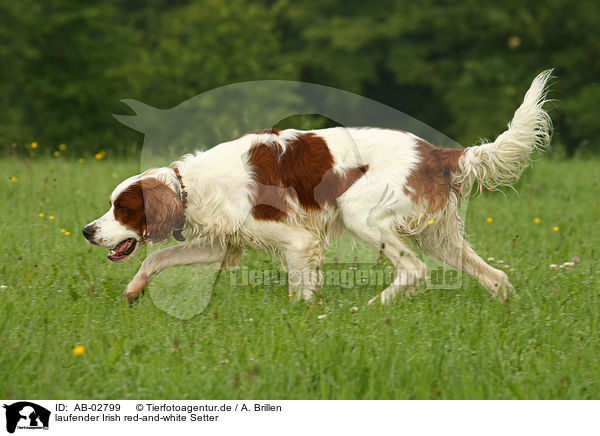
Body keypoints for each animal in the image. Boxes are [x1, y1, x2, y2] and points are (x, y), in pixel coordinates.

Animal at [82, 70, 552, 304]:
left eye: (122, 209)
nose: (87, 230)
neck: (195, 186)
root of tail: (436, 152)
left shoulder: (297, 240)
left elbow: (299, 291)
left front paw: (302, 318)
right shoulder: (223, 244)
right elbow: (155, 258)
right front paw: (133, 293)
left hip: (362, 214)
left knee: (415, 270)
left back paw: (374, 309)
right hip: (439, 235)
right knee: (495, 276)